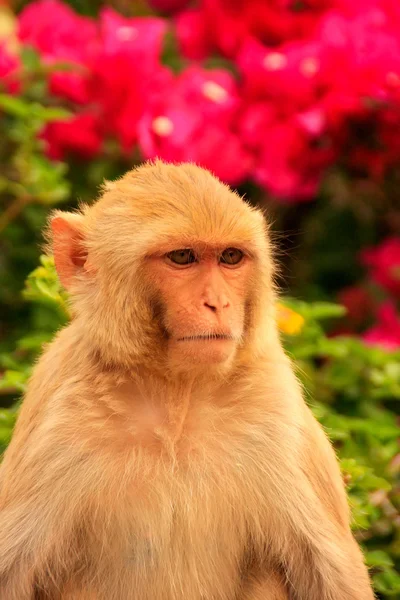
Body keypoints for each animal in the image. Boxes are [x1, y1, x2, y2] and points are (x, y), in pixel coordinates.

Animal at [0, 161, 374, 600]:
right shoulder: (57, 414)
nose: (219, 303)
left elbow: (331, 576)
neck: (176, 395)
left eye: (230, 257)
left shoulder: (275, 408)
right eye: (182, 257)